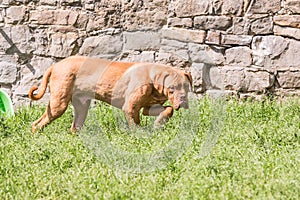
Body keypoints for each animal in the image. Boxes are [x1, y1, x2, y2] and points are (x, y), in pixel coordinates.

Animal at [28, 55, 192, 133]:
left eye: (186, 86)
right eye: (171, 88)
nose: (183, 99)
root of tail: (55, 65)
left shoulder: (148, 107)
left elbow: (168, 109)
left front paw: (159, 122)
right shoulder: (130, 107)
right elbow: (135, 124)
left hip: (81, 107)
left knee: (74, 127)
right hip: (59, 104)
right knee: (38, 123)